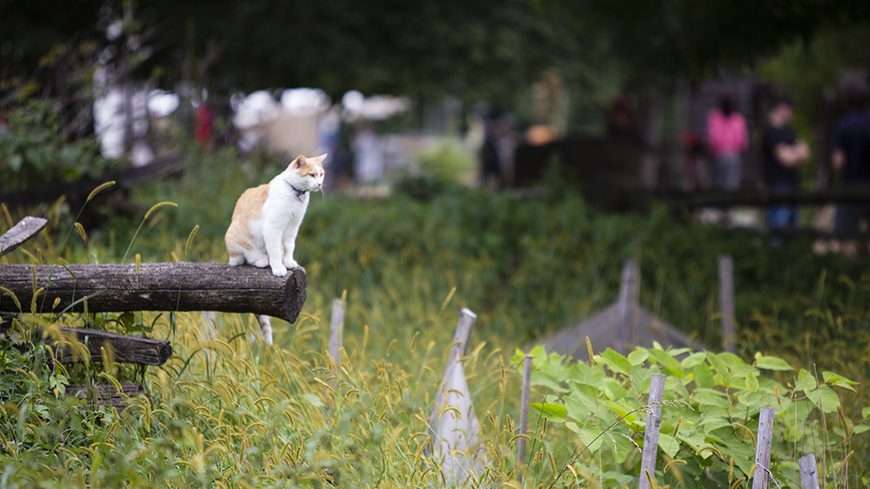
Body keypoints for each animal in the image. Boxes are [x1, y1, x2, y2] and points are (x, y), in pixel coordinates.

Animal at [225, 154, 328, 342]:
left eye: (321, 175)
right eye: (311, 175)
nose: (319, 184)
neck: (295, 194)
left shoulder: (292, 229)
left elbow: (288, 249)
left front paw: (289, 263)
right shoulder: (273, 228)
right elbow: (275, 252)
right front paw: (279, 268)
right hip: (237, 240)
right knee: (245, 258)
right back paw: (261, 260)